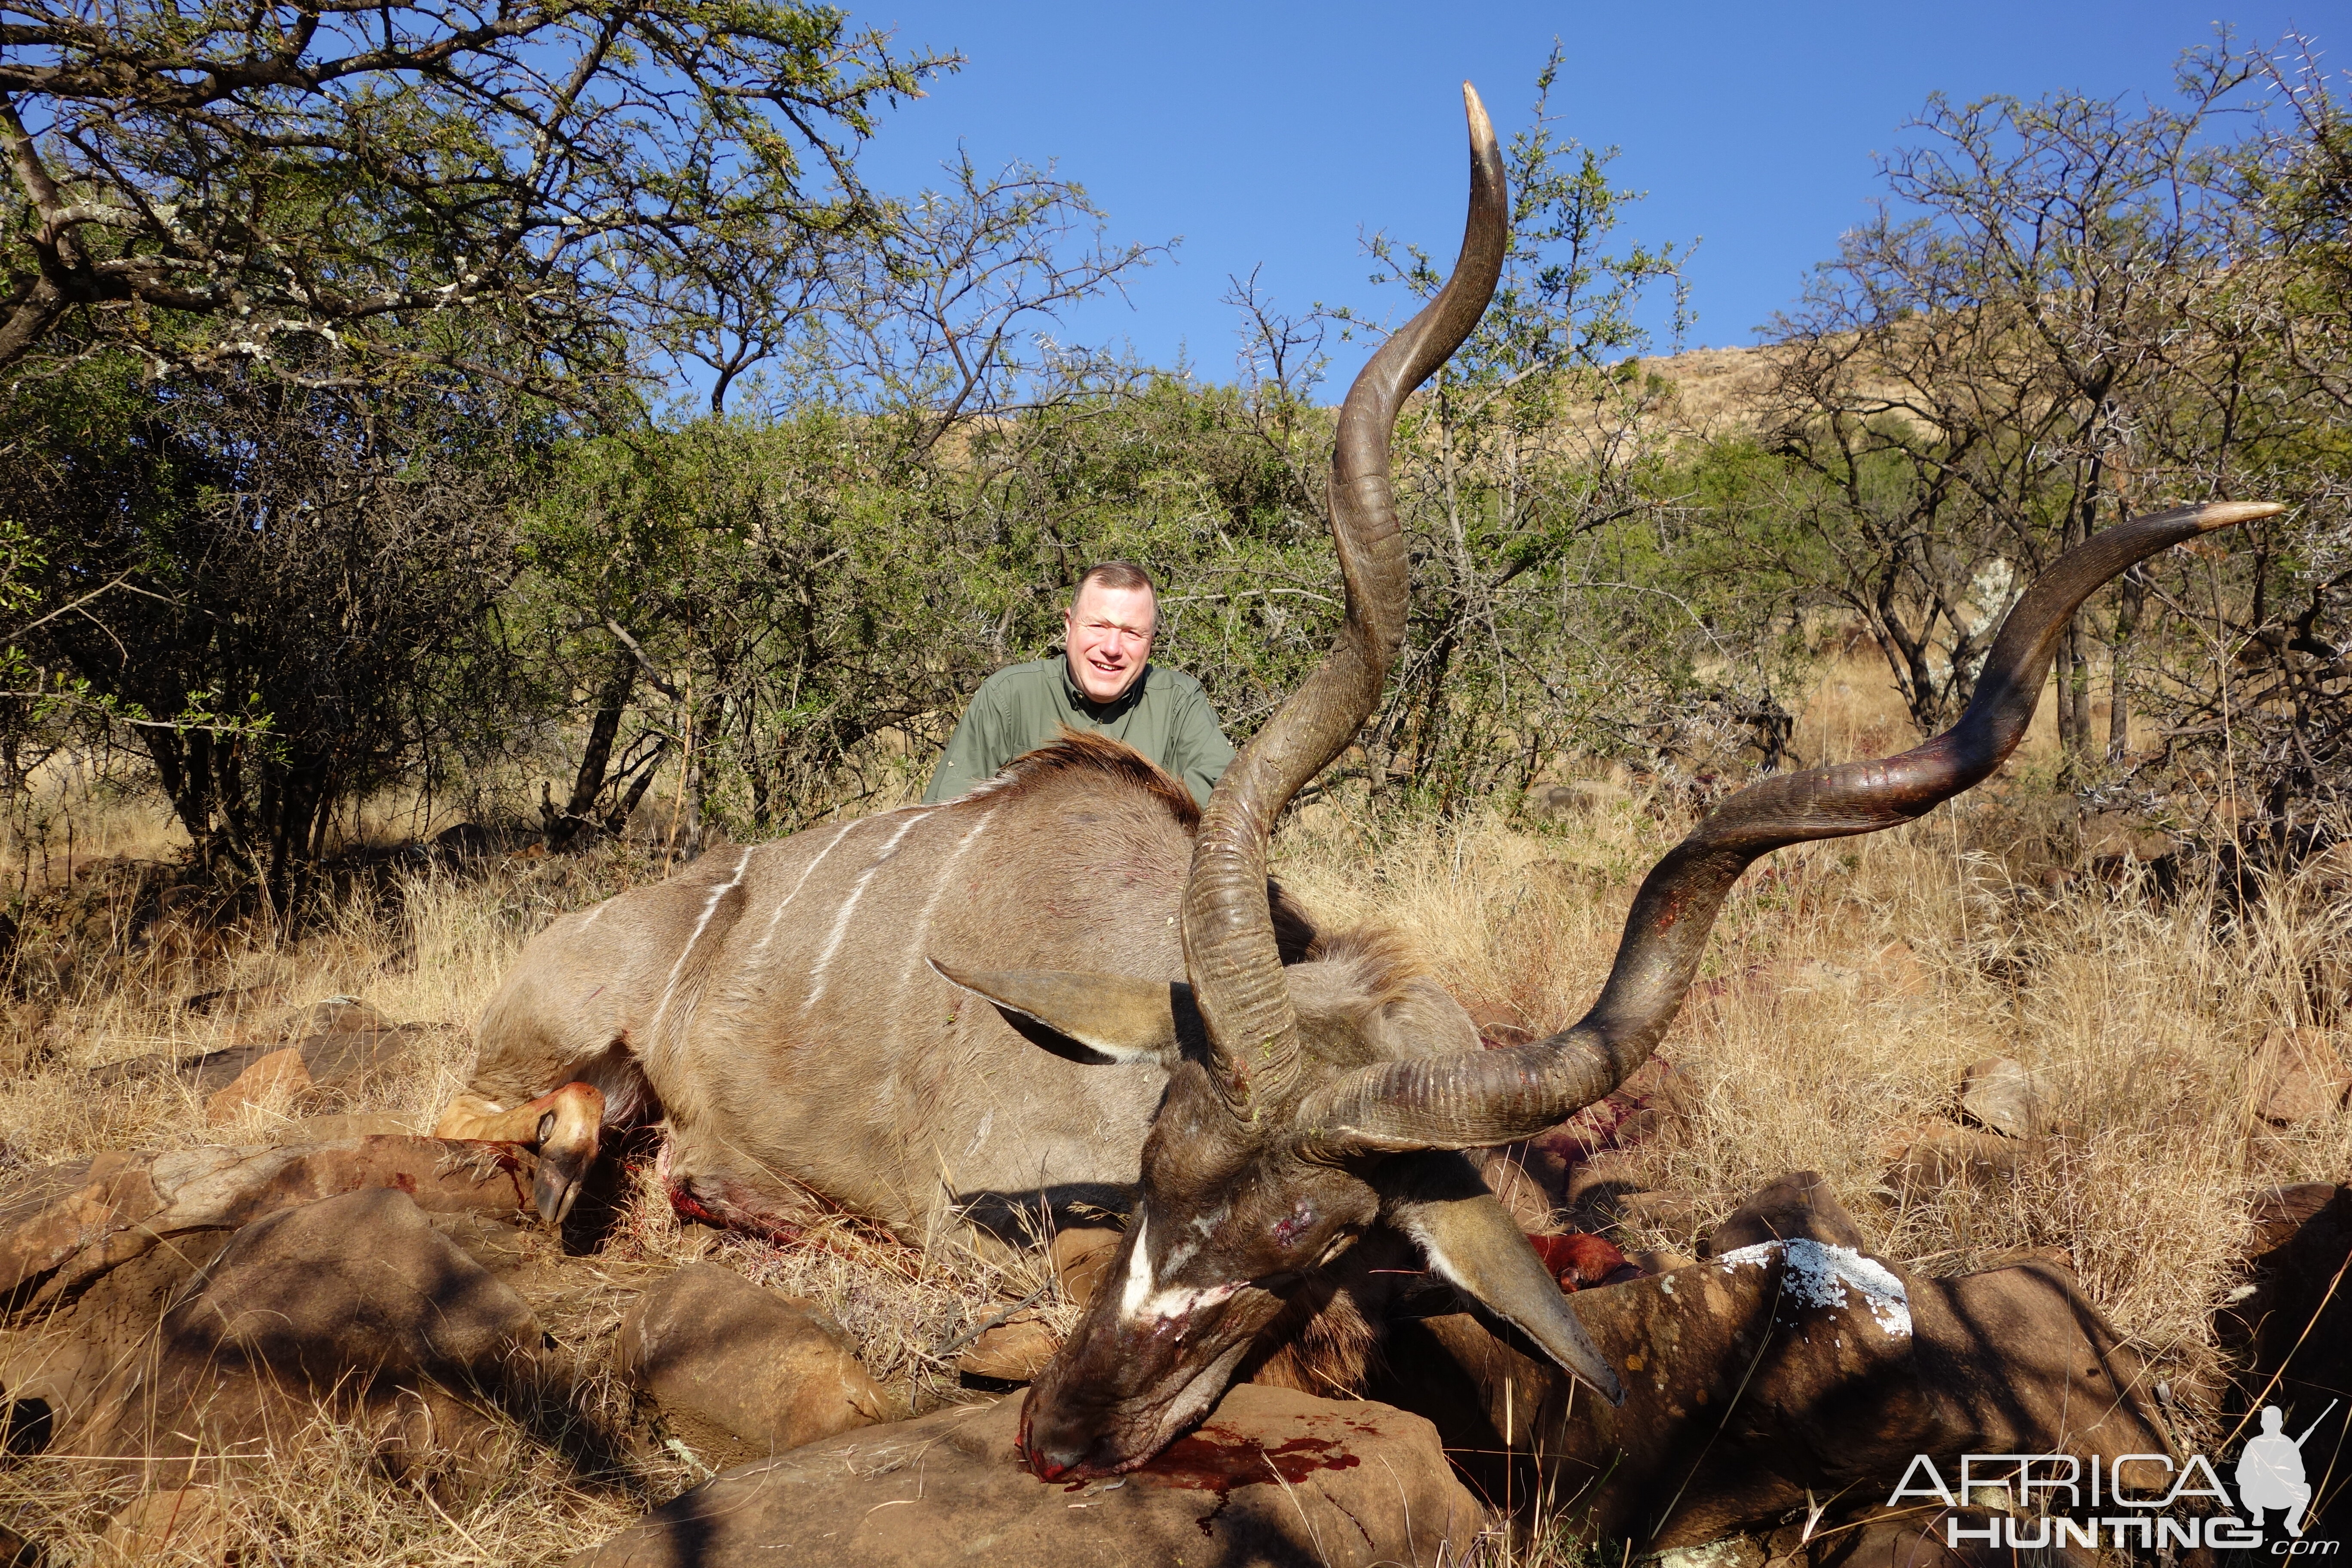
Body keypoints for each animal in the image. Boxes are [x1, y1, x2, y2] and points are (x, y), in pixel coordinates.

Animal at [442, 86, 2276, 1485]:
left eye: (1306, 1236)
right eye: (1156, 1174)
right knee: (515, 1123)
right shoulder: (996, 1212)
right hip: (533, 1043)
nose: (1058, 1439)